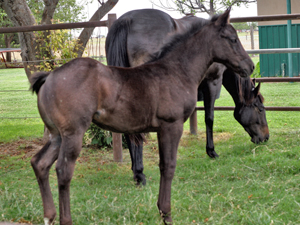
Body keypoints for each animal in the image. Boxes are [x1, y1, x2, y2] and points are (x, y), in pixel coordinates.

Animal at [29, 9, 253, 225]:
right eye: (232, 39)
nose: (250, 66)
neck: (176, 71)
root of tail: (49, 76)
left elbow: (164, 165)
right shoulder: (171, 126)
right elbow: (168, 166)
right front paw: (166, 214)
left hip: (57, 136)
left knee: (40, 164)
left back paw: (49, 216)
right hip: (73, 134)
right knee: (63, 171)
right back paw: (65, 219)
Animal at [105, 7, 270, 185]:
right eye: (261, 109)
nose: (266, 137)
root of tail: (126, 20)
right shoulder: (212, 82)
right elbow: (209, 118)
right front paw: (211, 151)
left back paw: (136, 171)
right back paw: (140, 172)